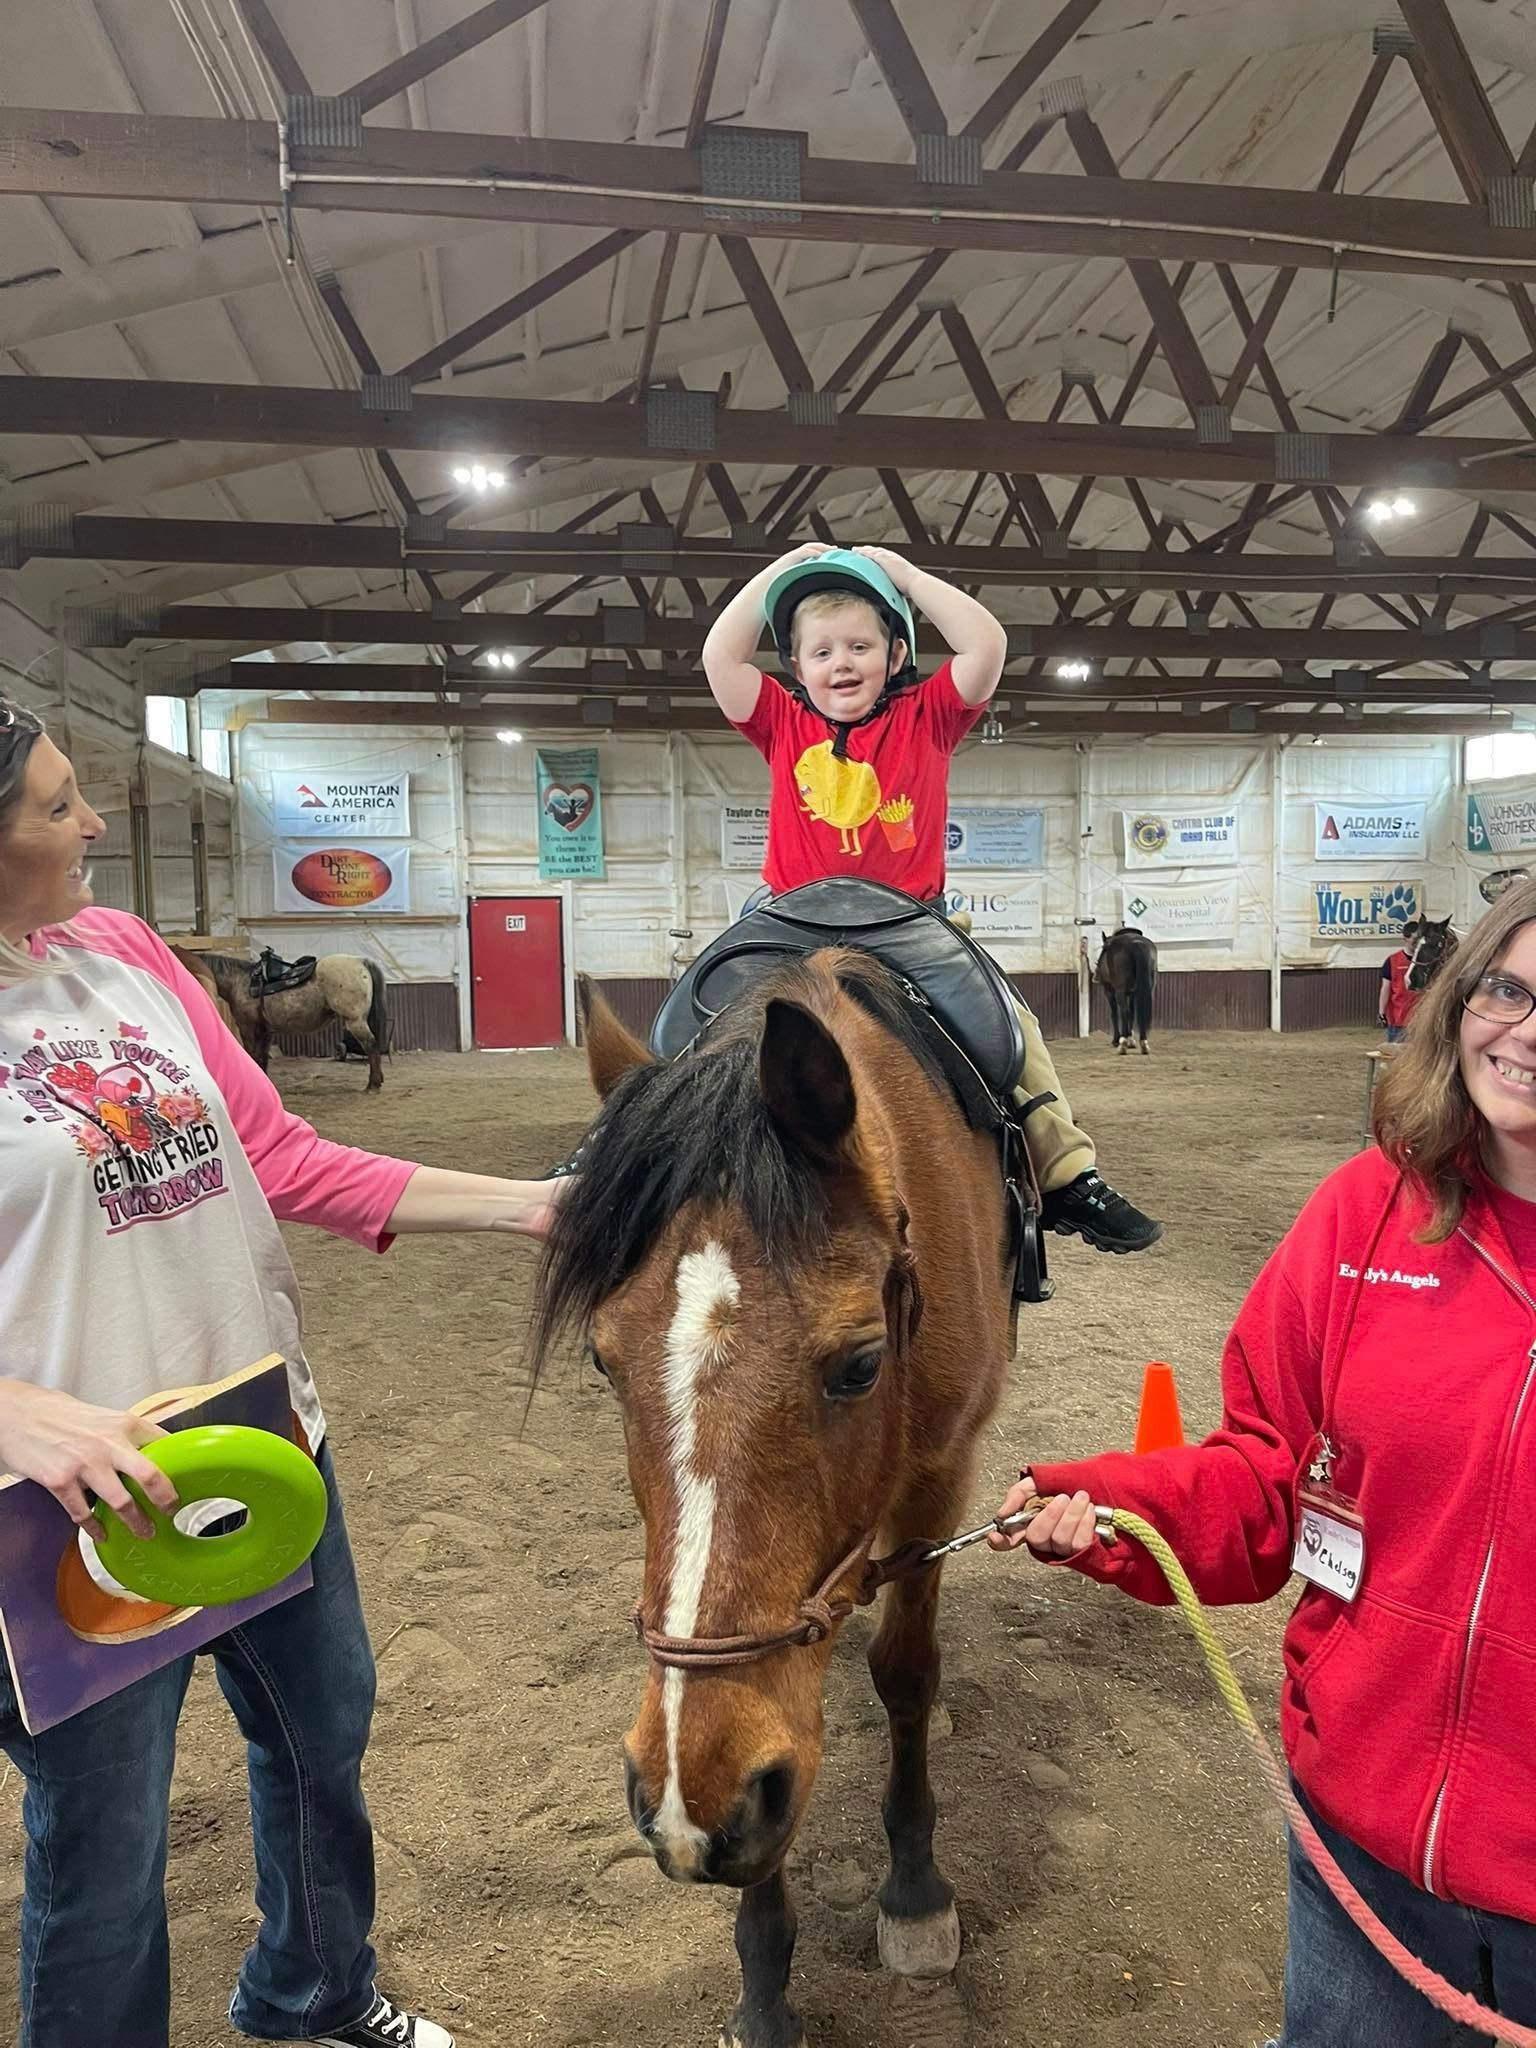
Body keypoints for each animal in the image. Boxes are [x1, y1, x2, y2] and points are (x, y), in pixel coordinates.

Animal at [194, 952, 392, 1090]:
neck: (240, 982)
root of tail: (361, 961)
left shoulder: (248, 1027)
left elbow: (253, 1055)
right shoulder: (266, 1030)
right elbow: (262, 1057)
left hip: (355, 1021)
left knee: (371, 1046)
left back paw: (373, 1085)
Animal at [533, 950, 1015, 2048]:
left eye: (860, 1365)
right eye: (604, 1361)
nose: (682, 1800)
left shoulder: (940, 1476)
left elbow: (906, 1672)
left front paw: (915, 1891)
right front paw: (763, 1983)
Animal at [1095, 925, 1158, 1054]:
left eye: (1104, 949)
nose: (1096, 974)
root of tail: (1136, 943)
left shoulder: (1109, 991)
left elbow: (1115, 1014)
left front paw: (1117, 1040)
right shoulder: (1133, 993)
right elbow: (1132, 1012)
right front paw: (1131, 1039)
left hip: (1119, 991)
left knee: (1123, 1011)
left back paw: (1122, 1045)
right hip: (1147, 989)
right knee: (1138, 1011)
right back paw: (1143, 1043)